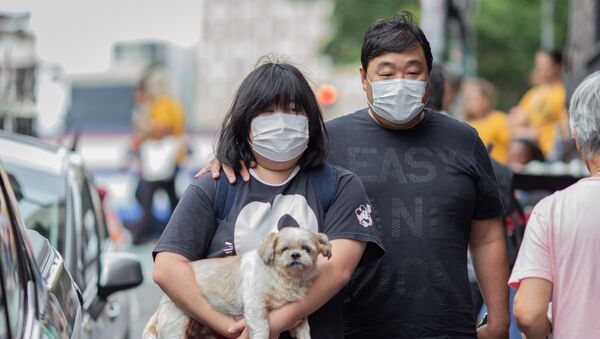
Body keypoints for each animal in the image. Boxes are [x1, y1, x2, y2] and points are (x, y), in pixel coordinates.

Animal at [145, 227, 332, 339]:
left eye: (307, 249)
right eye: (284, 250)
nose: (295, 255)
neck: (283, 278)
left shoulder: (298, 318)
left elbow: (304, 332)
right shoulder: (256, 305)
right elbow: (263, 328)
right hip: (175, 325)